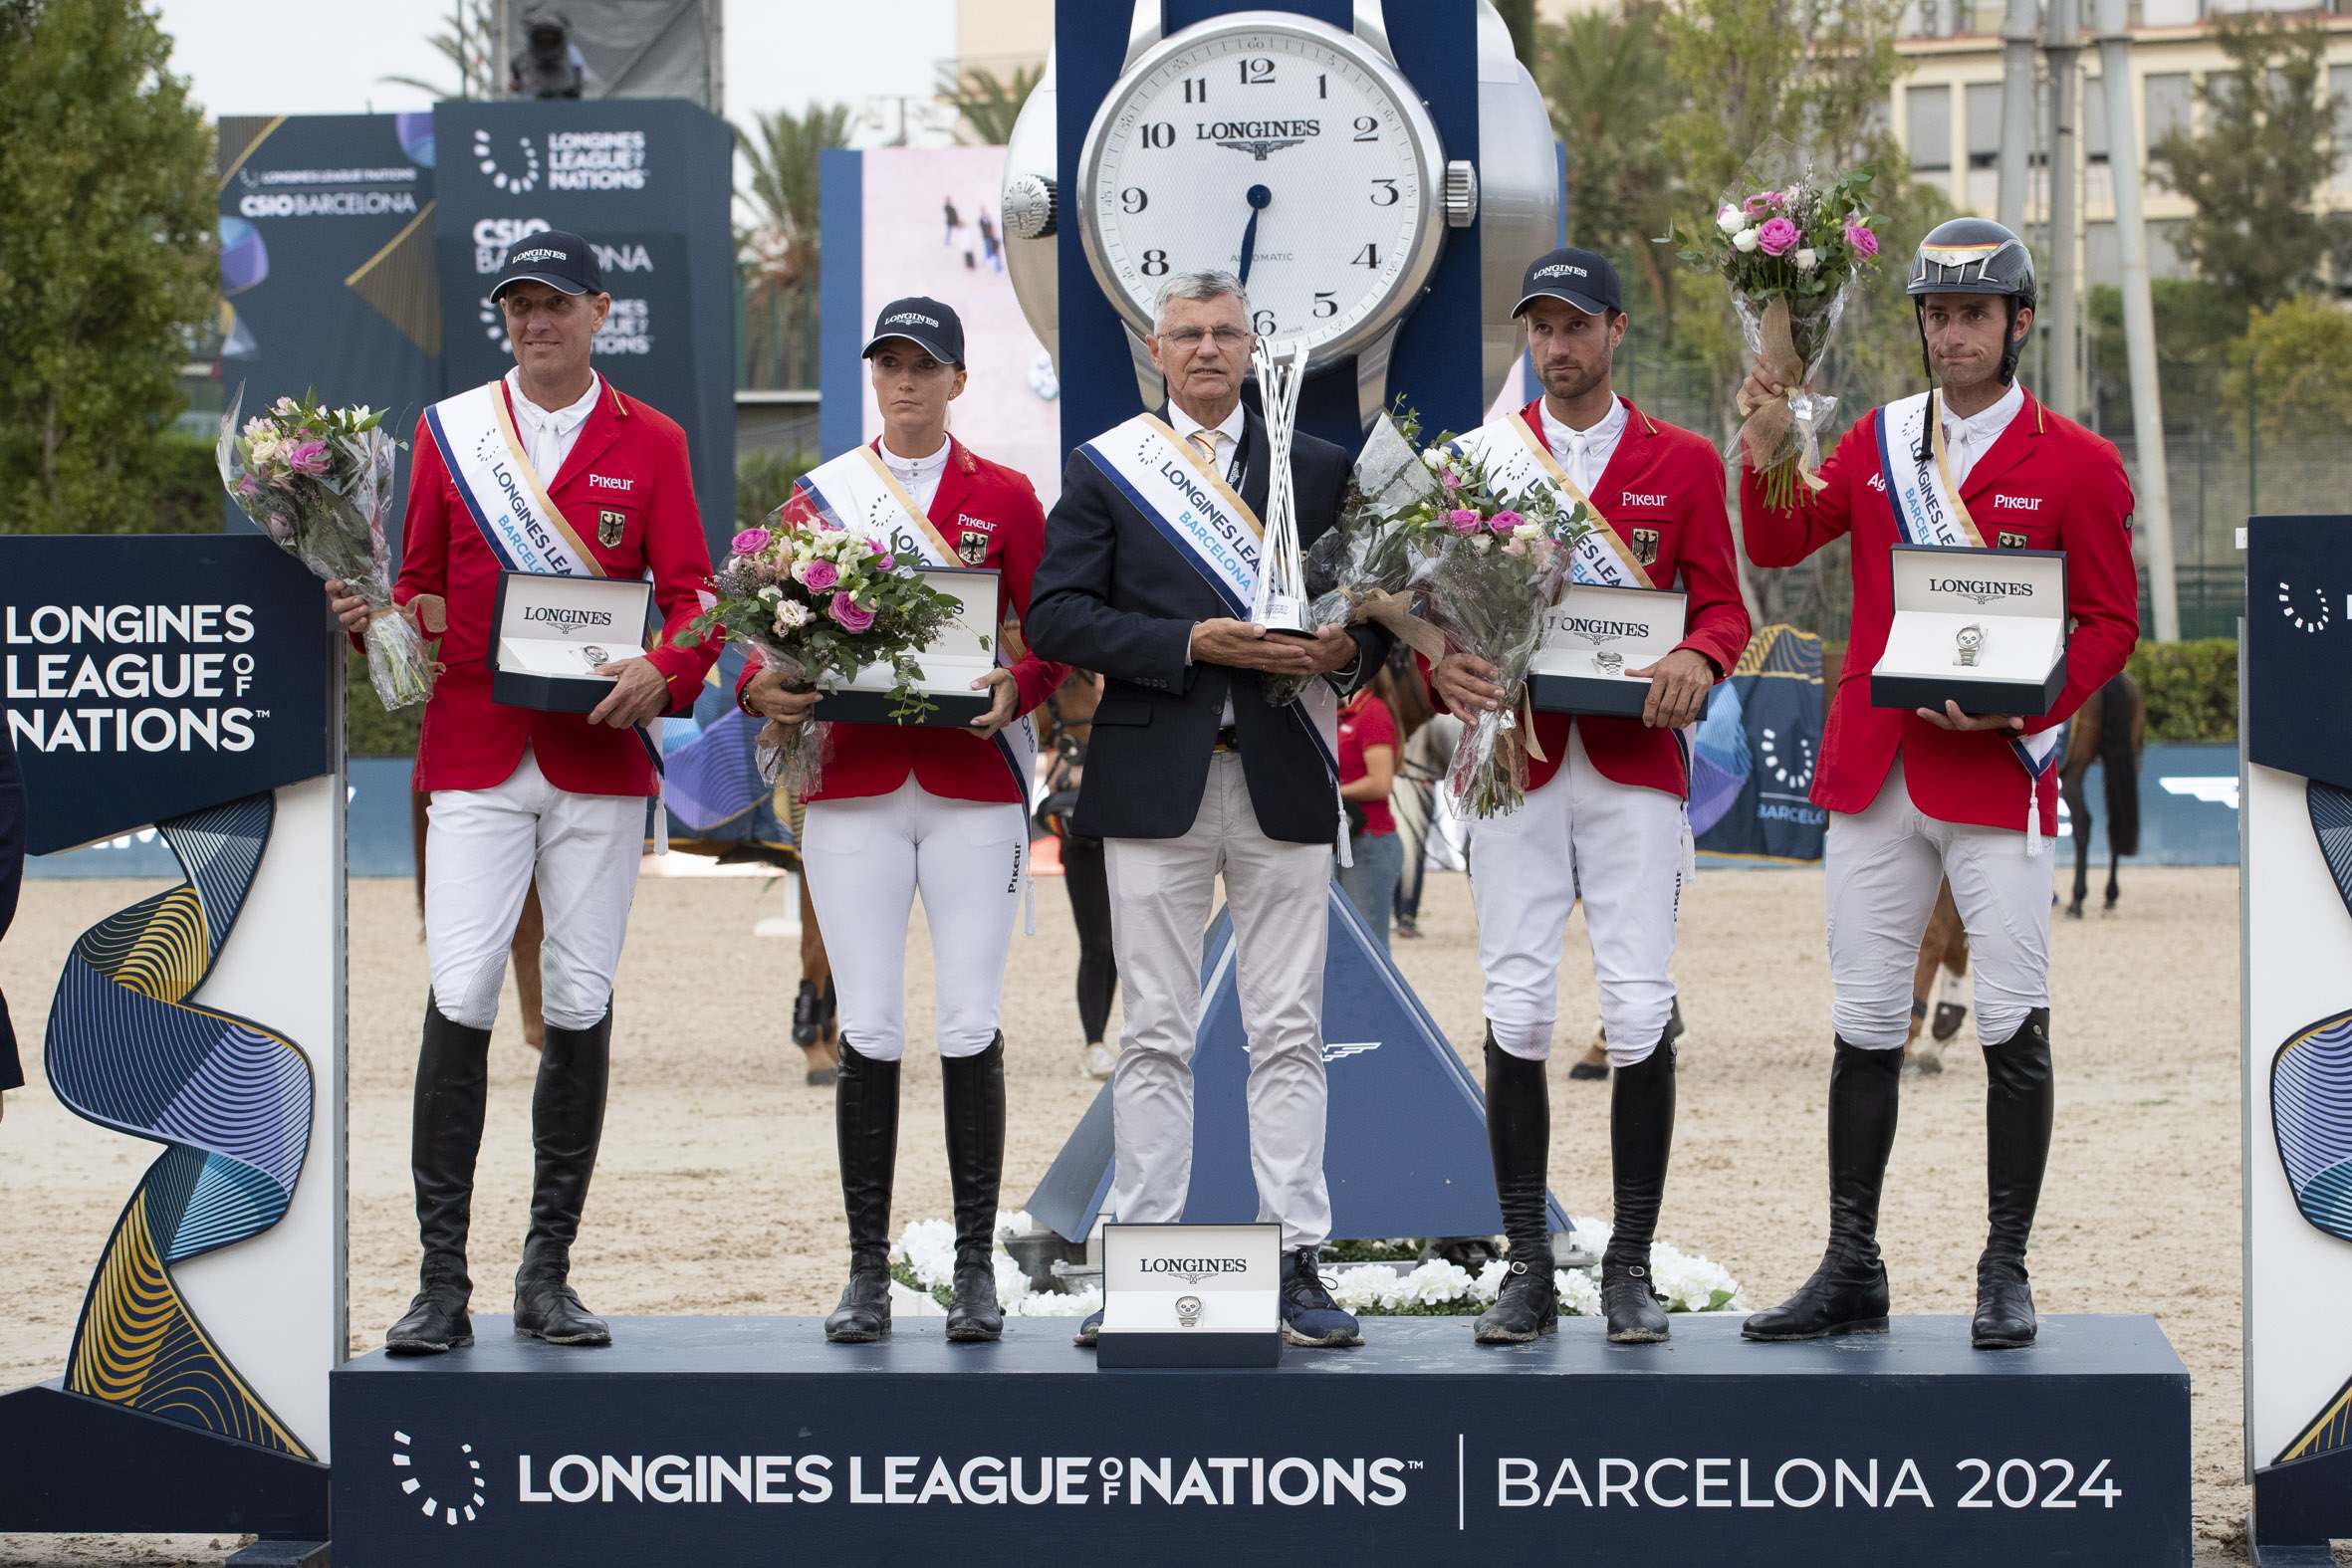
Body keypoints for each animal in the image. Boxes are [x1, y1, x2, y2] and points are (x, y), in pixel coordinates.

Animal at [2060, 672, 2154, 921]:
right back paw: (2110, 896)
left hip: (2072, 770)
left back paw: (2076, 901)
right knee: (2116, 823)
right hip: (2131, 757)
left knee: (2082, 823)